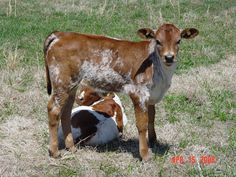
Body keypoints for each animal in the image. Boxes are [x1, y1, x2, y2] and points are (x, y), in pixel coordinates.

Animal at [43, 23, 198, 160]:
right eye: (158, 41)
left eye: (178, 40)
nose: (169, 57)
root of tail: (60, 34)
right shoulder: (138, 93)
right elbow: (142, 124)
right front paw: (145, 155)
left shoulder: (151, 95)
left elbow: (152, 118)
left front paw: (154, 141)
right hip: (62, 82)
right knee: (54, 110)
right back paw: (54, 152)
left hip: (72, 85)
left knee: (65, 112)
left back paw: (71, 147)